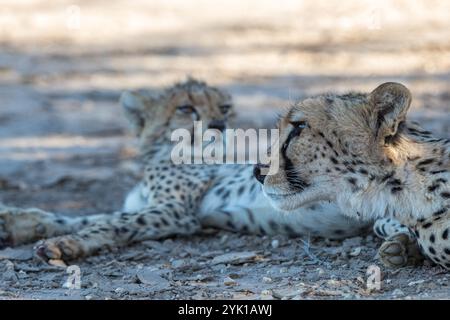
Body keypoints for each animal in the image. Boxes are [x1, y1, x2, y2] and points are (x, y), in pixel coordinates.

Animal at [0, 79, 370, 262]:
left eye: (224, 108)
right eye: (186, 108)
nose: (219, 124)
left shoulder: (176, 212)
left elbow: (113, 223)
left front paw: (66, 244)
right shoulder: (156, 205)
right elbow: (91, 216)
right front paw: (19, 222)